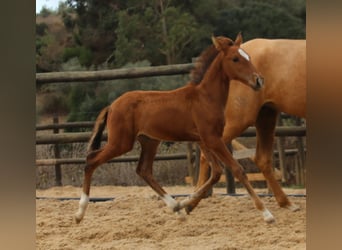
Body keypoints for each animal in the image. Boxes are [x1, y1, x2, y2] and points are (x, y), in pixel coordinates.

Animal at [75, 33, 276, 225]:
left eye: (248, 57)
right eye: (235, 59)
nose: (259, 81)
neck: (205, 98)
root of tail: (112, 106)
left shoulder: (203, 140)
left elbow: (217, 172)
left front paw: (184, 203)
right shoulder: (212, 139)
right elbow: (237, 169)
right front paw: (267, 214)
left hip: (150, 141)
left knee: (144, 170)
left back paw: (176, 209)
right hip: (121, 143)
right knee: (91, 160)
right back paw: (79, 213)